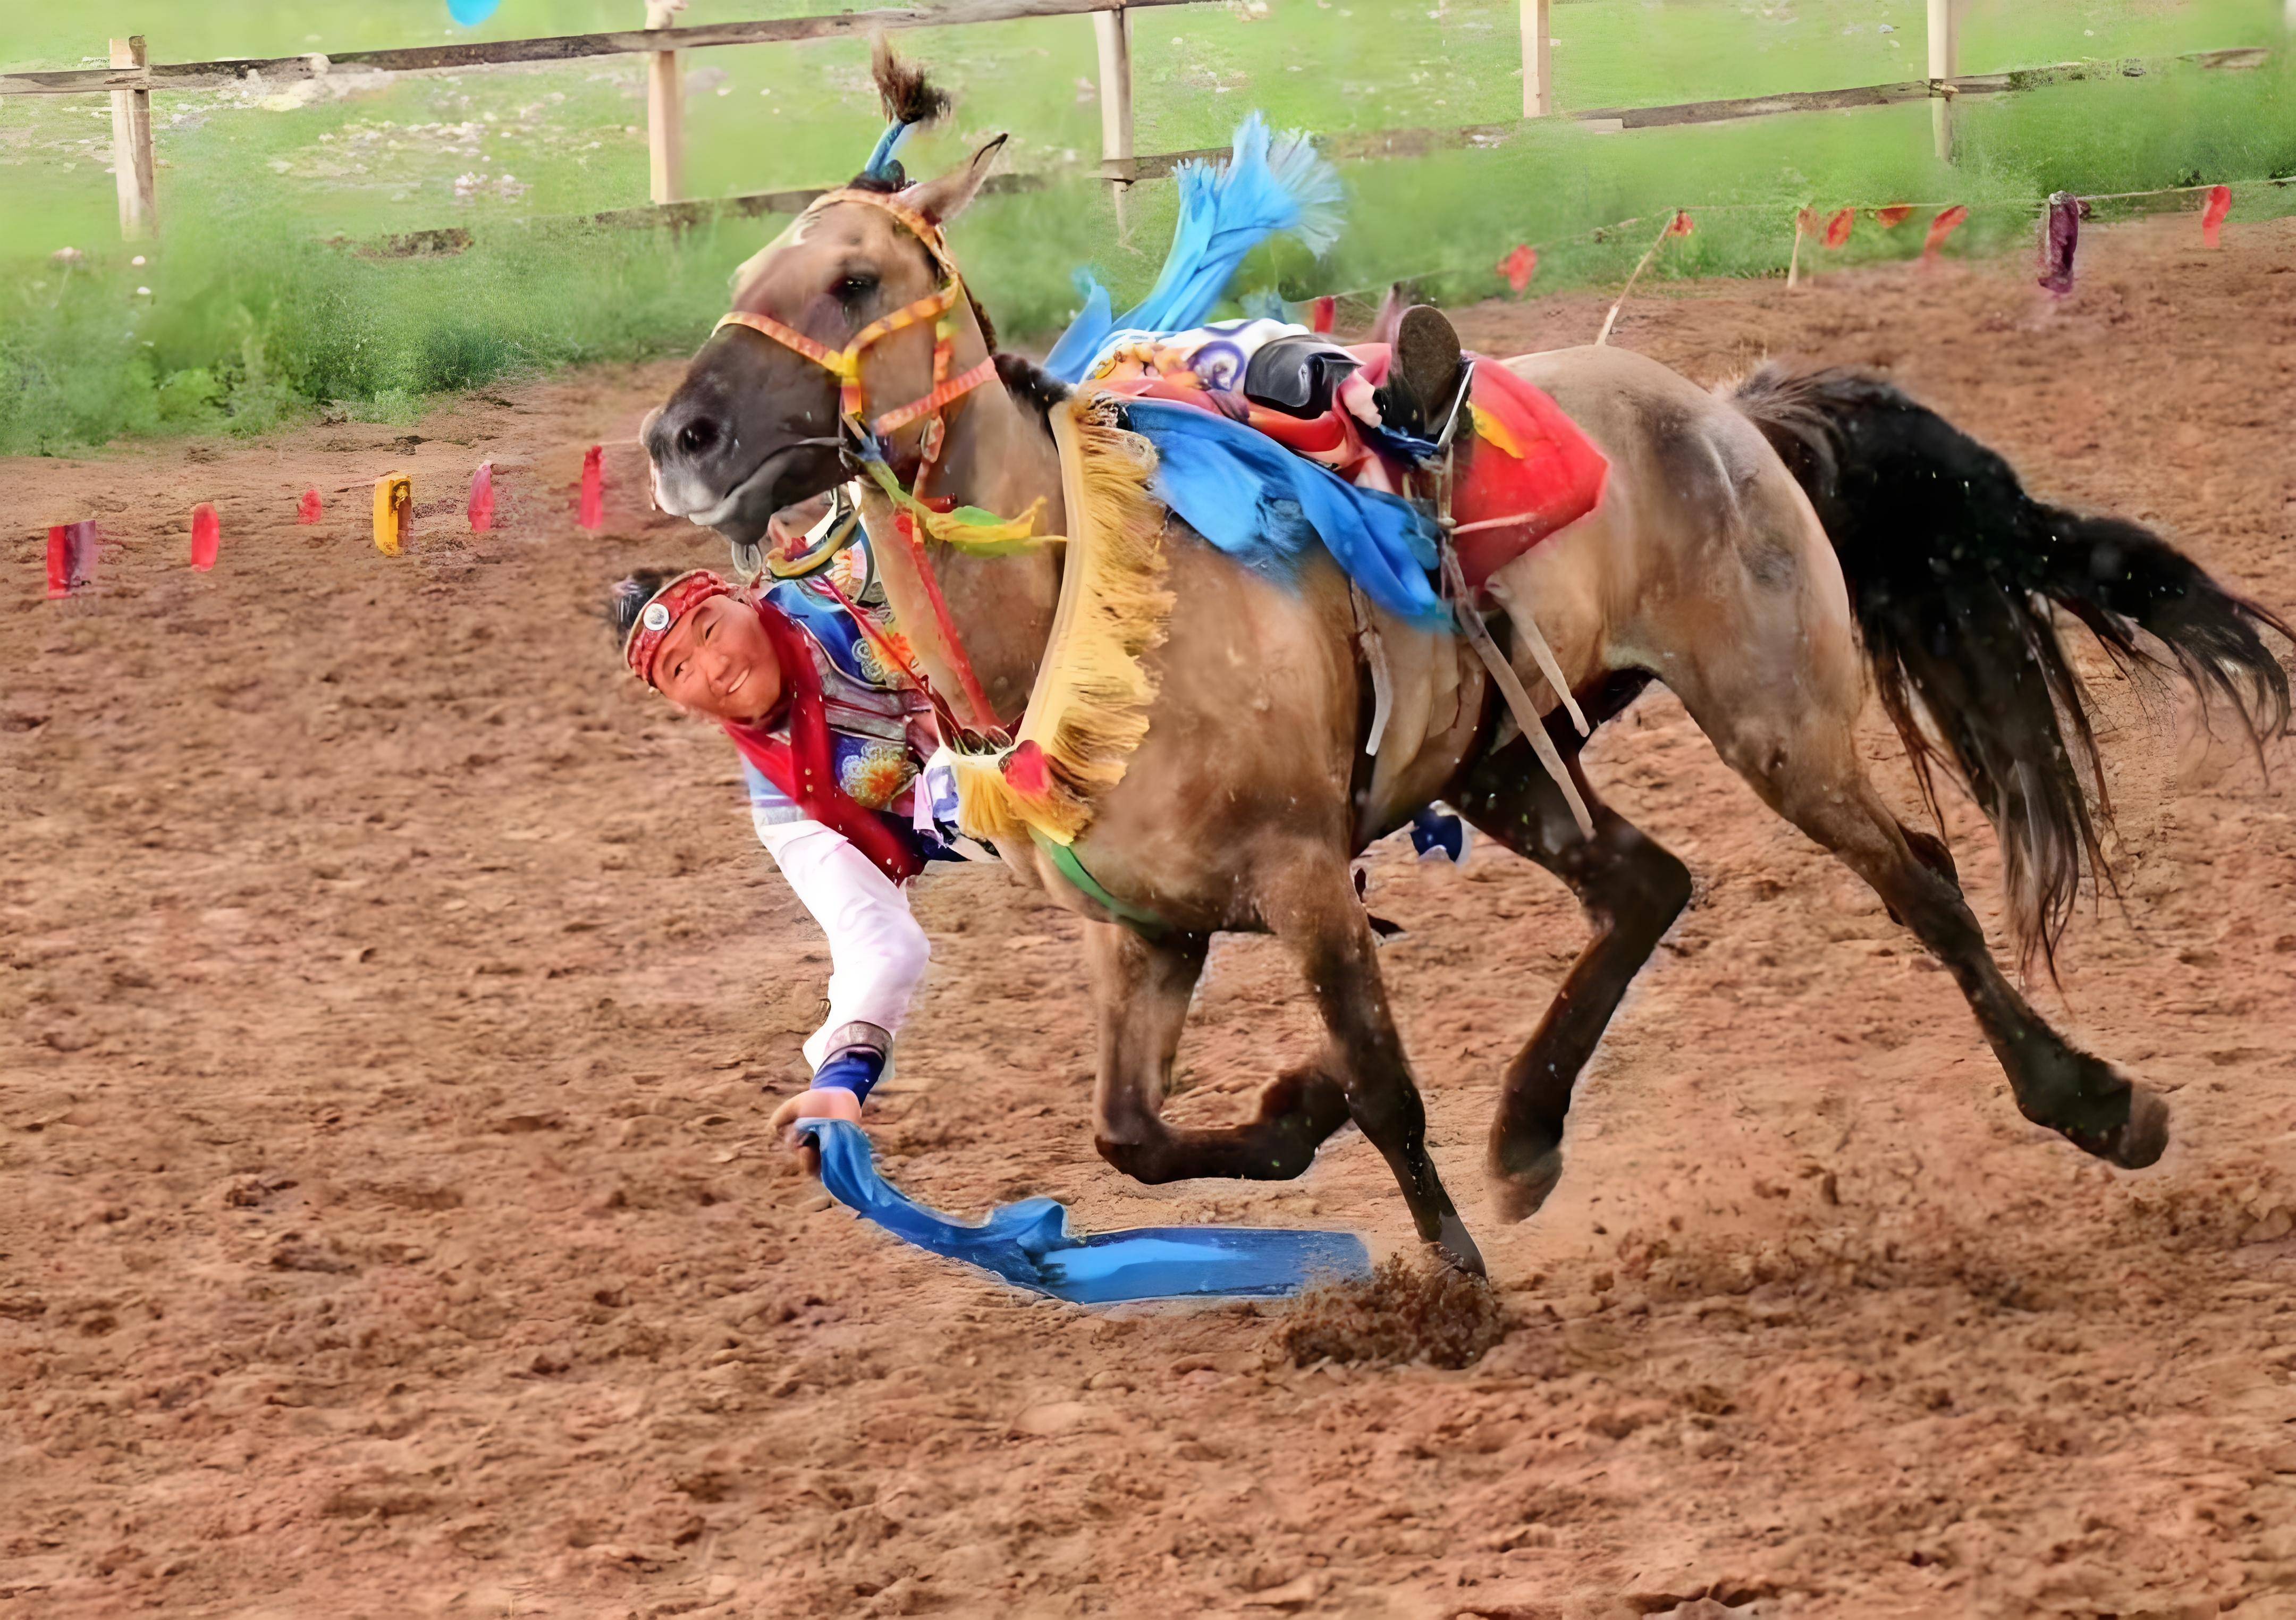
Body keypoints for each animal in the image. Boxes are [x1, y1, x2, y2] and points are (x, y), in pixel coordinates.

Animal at [640, 133, 2290, 1271]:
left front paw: (1446, 1277)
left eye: (855, 281)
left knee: (1923, 884)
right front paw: (1301, 1112)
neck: (1081, 614)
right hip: (1505, 760)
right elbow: (1133, 1138)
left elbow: (1383, 1084)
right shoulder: (1144, 931)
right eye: (739, 288)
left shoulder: (1306, 877)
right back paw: (1530, 1133)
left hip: (1778, 717)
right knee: (1647, 883)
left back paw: (2097, 1104)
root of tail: (1728, 415)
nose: (682, 438)